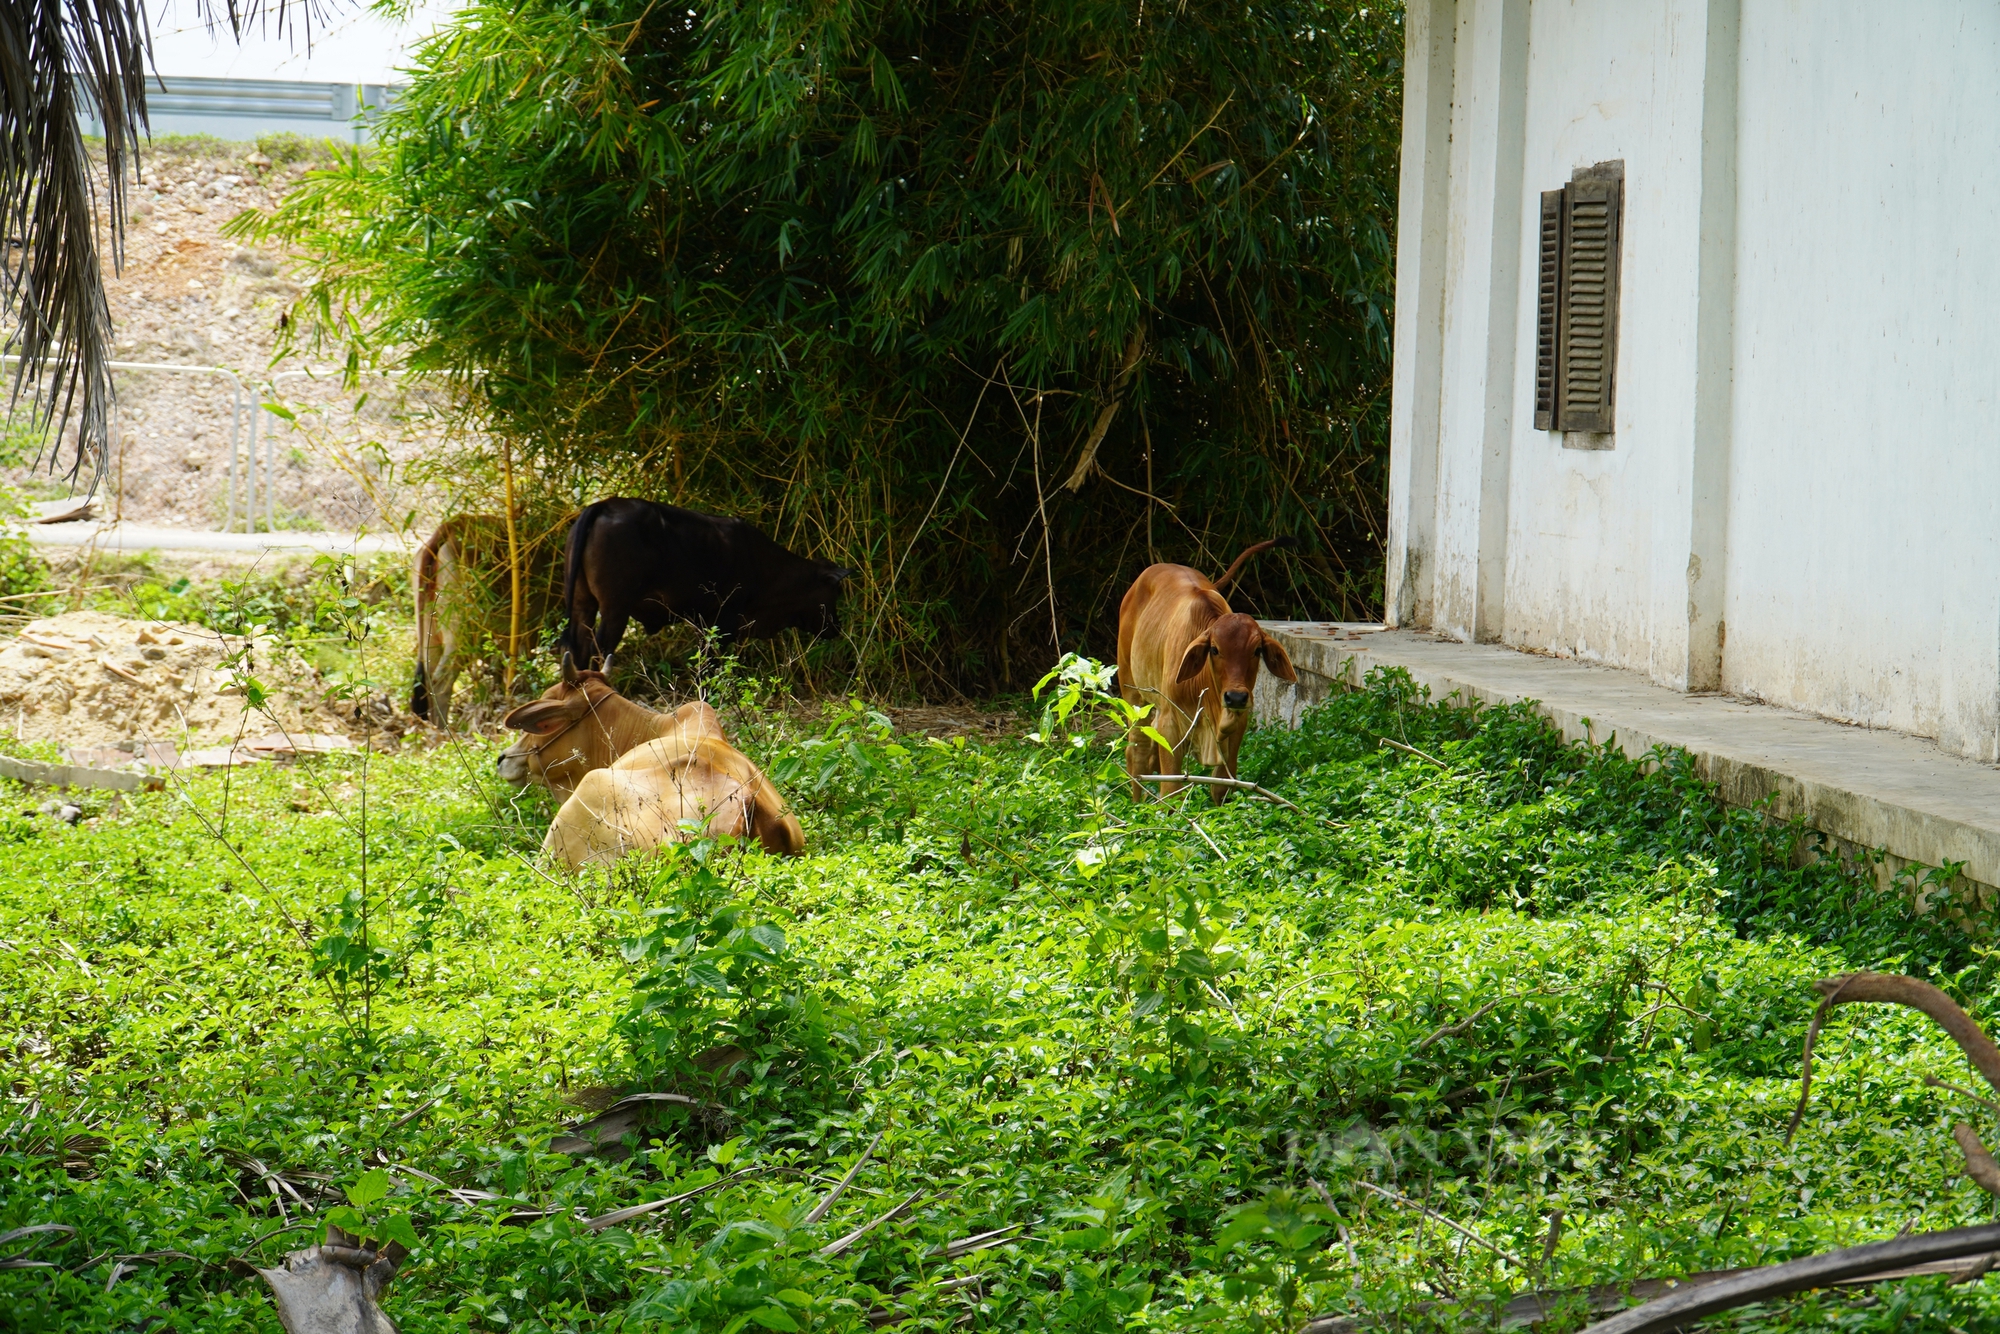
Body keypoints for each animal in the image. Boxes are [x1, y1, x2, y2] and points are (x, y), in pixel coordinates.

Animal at [410, 516, 560, 732]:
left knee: (426, 679)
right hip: (461, 634)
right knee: (441, 680)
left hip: (431, 635)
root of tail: (450, 526)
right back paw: (444, 729)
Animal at [556, 496, 852, 668]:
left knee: (578, 651)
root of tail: (602, 505)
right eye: (835, 591)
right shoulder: (723, 621)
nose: (837, 627)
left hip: (584, 604)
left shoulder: (703, 622)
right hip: (615, 610)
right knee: (598, 653)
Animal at [1112, 540, 1296, 804]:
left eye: (1257, 650)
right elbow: (1171, 790)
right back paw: (1137, 806)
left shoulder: (1238, 724)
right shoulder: (1169, 725)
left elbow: (1222, 786)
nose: (1236, 697)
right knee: (1137, 751)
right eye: (1214, 649)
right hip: (1132, 692)